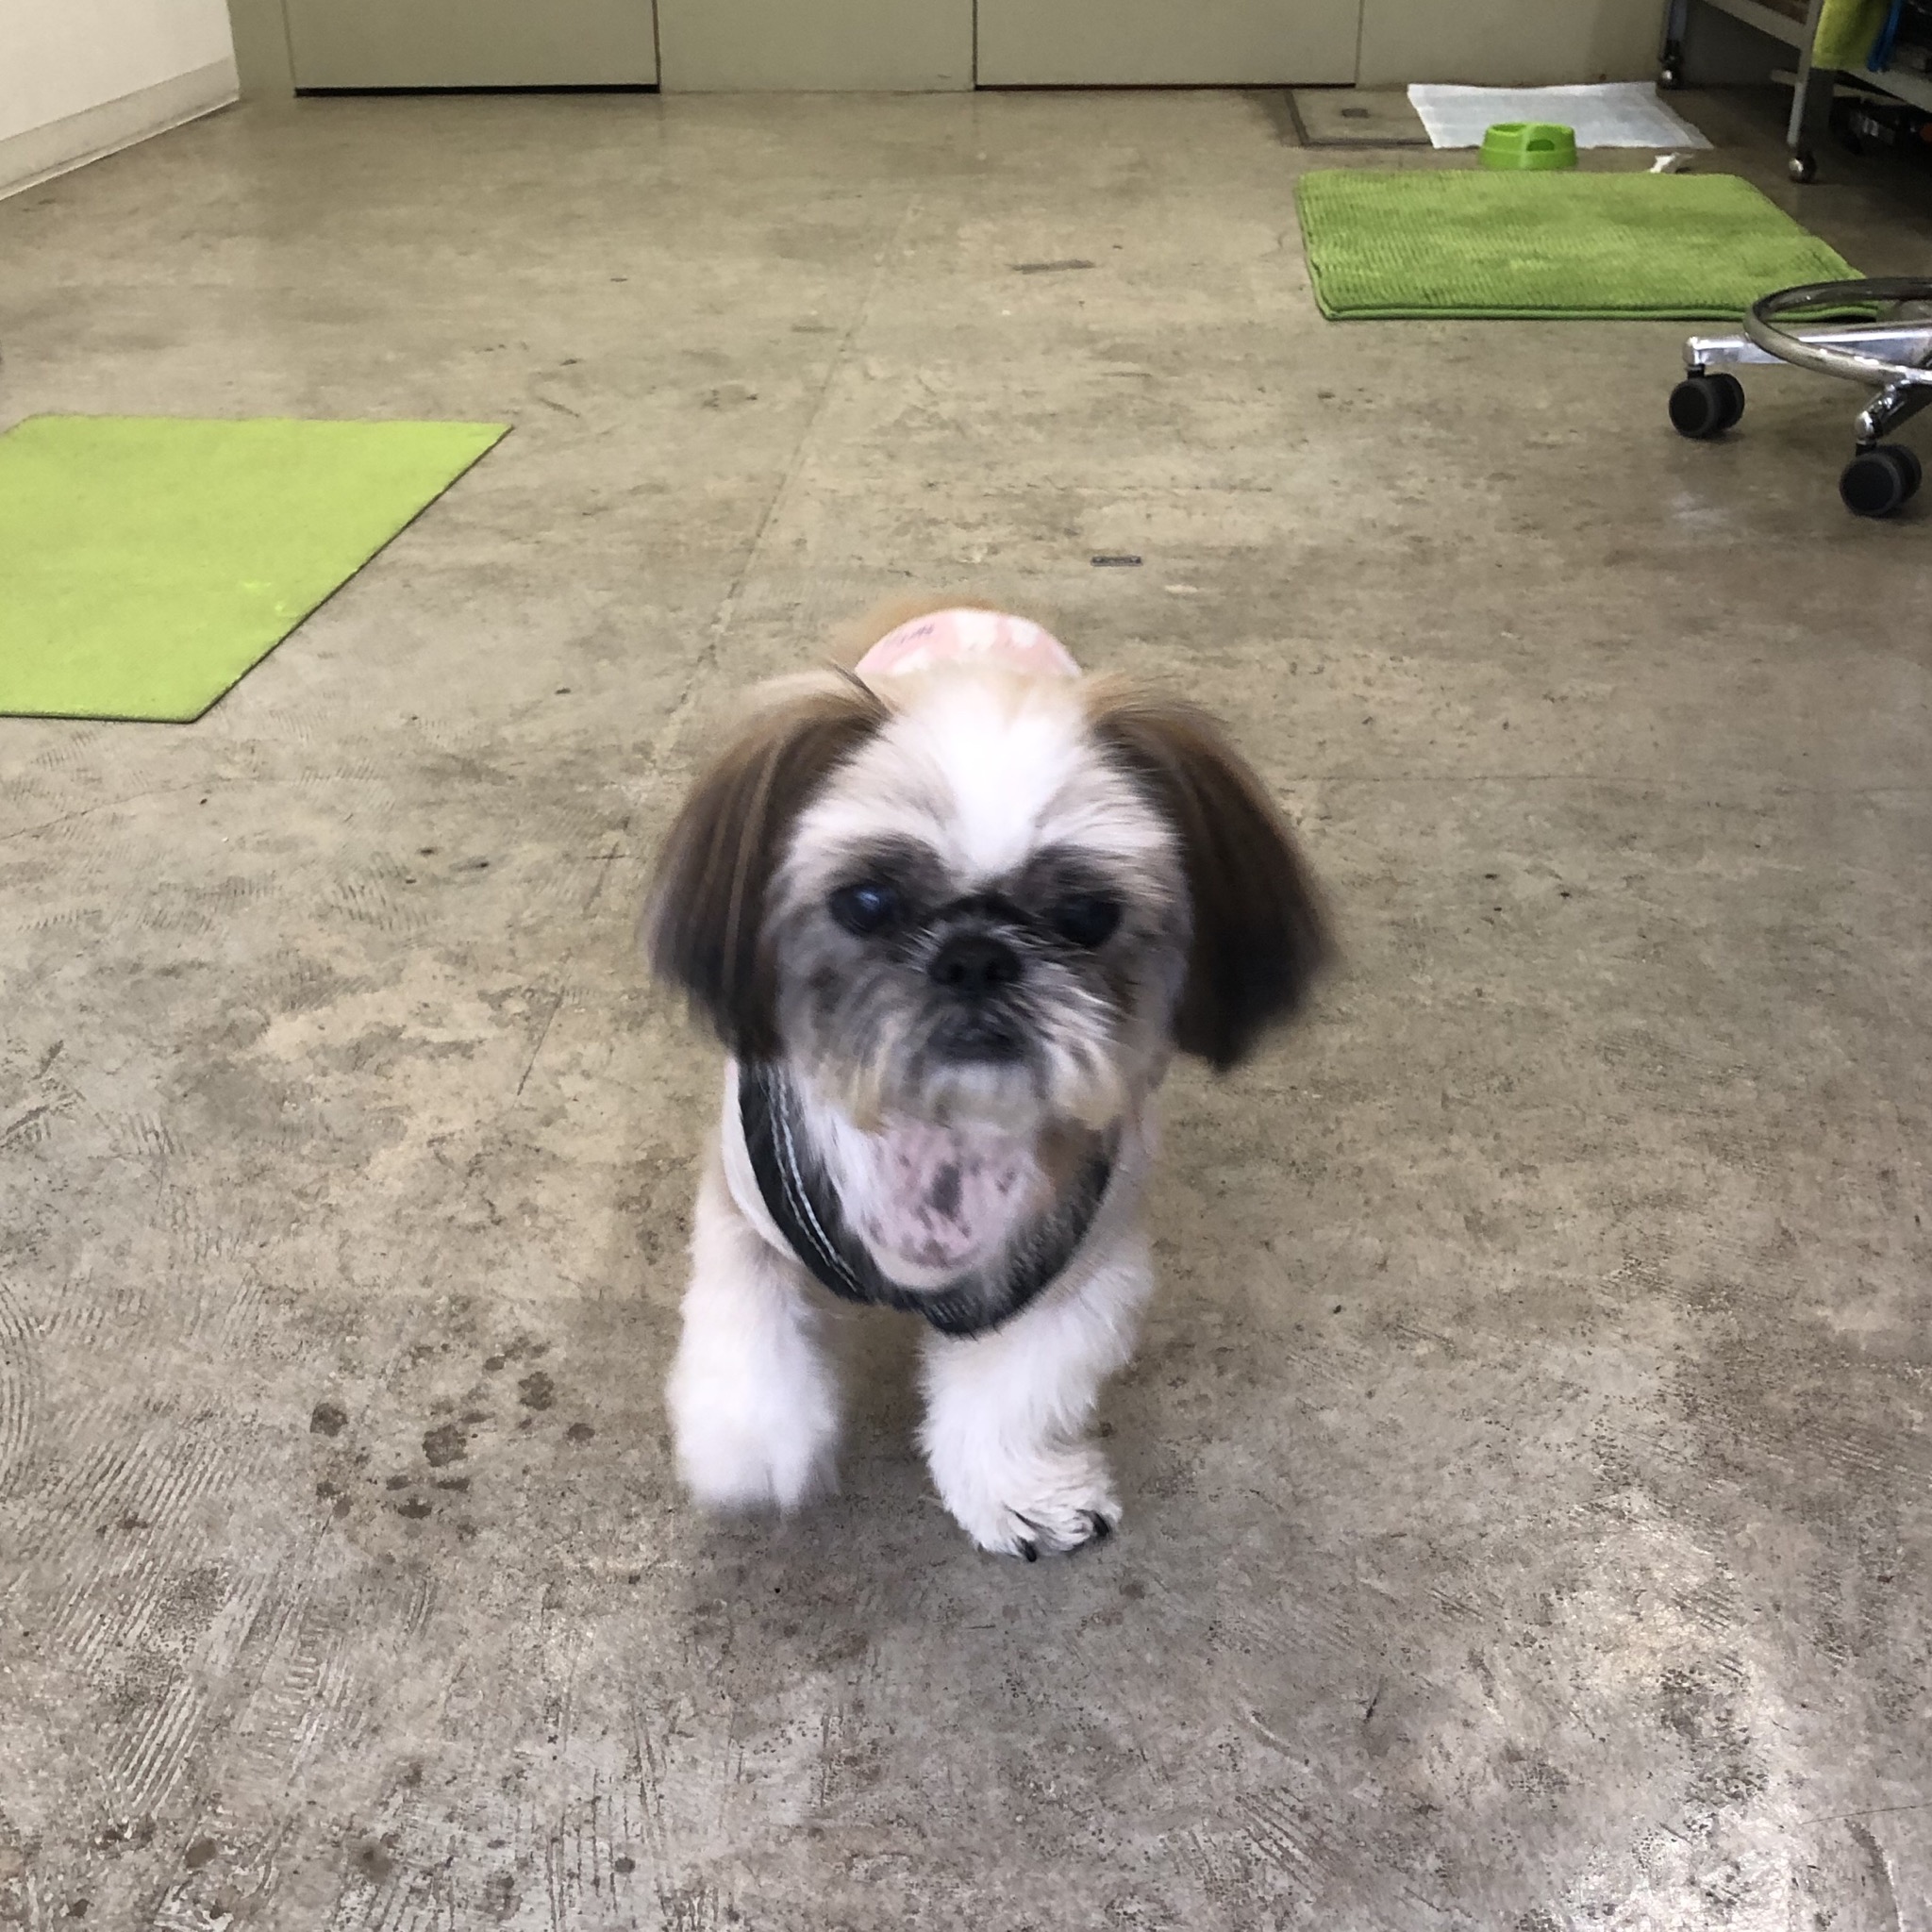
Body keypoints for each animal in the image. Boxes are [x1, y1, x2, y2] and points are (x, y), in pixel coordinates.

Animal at [644, 604, 1328, 1558]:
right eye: (866, 902)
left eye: (1087, 915)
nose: (975, 957)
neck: (941, 1135)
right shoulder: (746, 1205)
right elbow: (747, 1322)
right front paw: (748, 1441)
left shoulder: (1075, 1264)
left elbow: (1013, 1392)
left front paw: (1018, 1492)